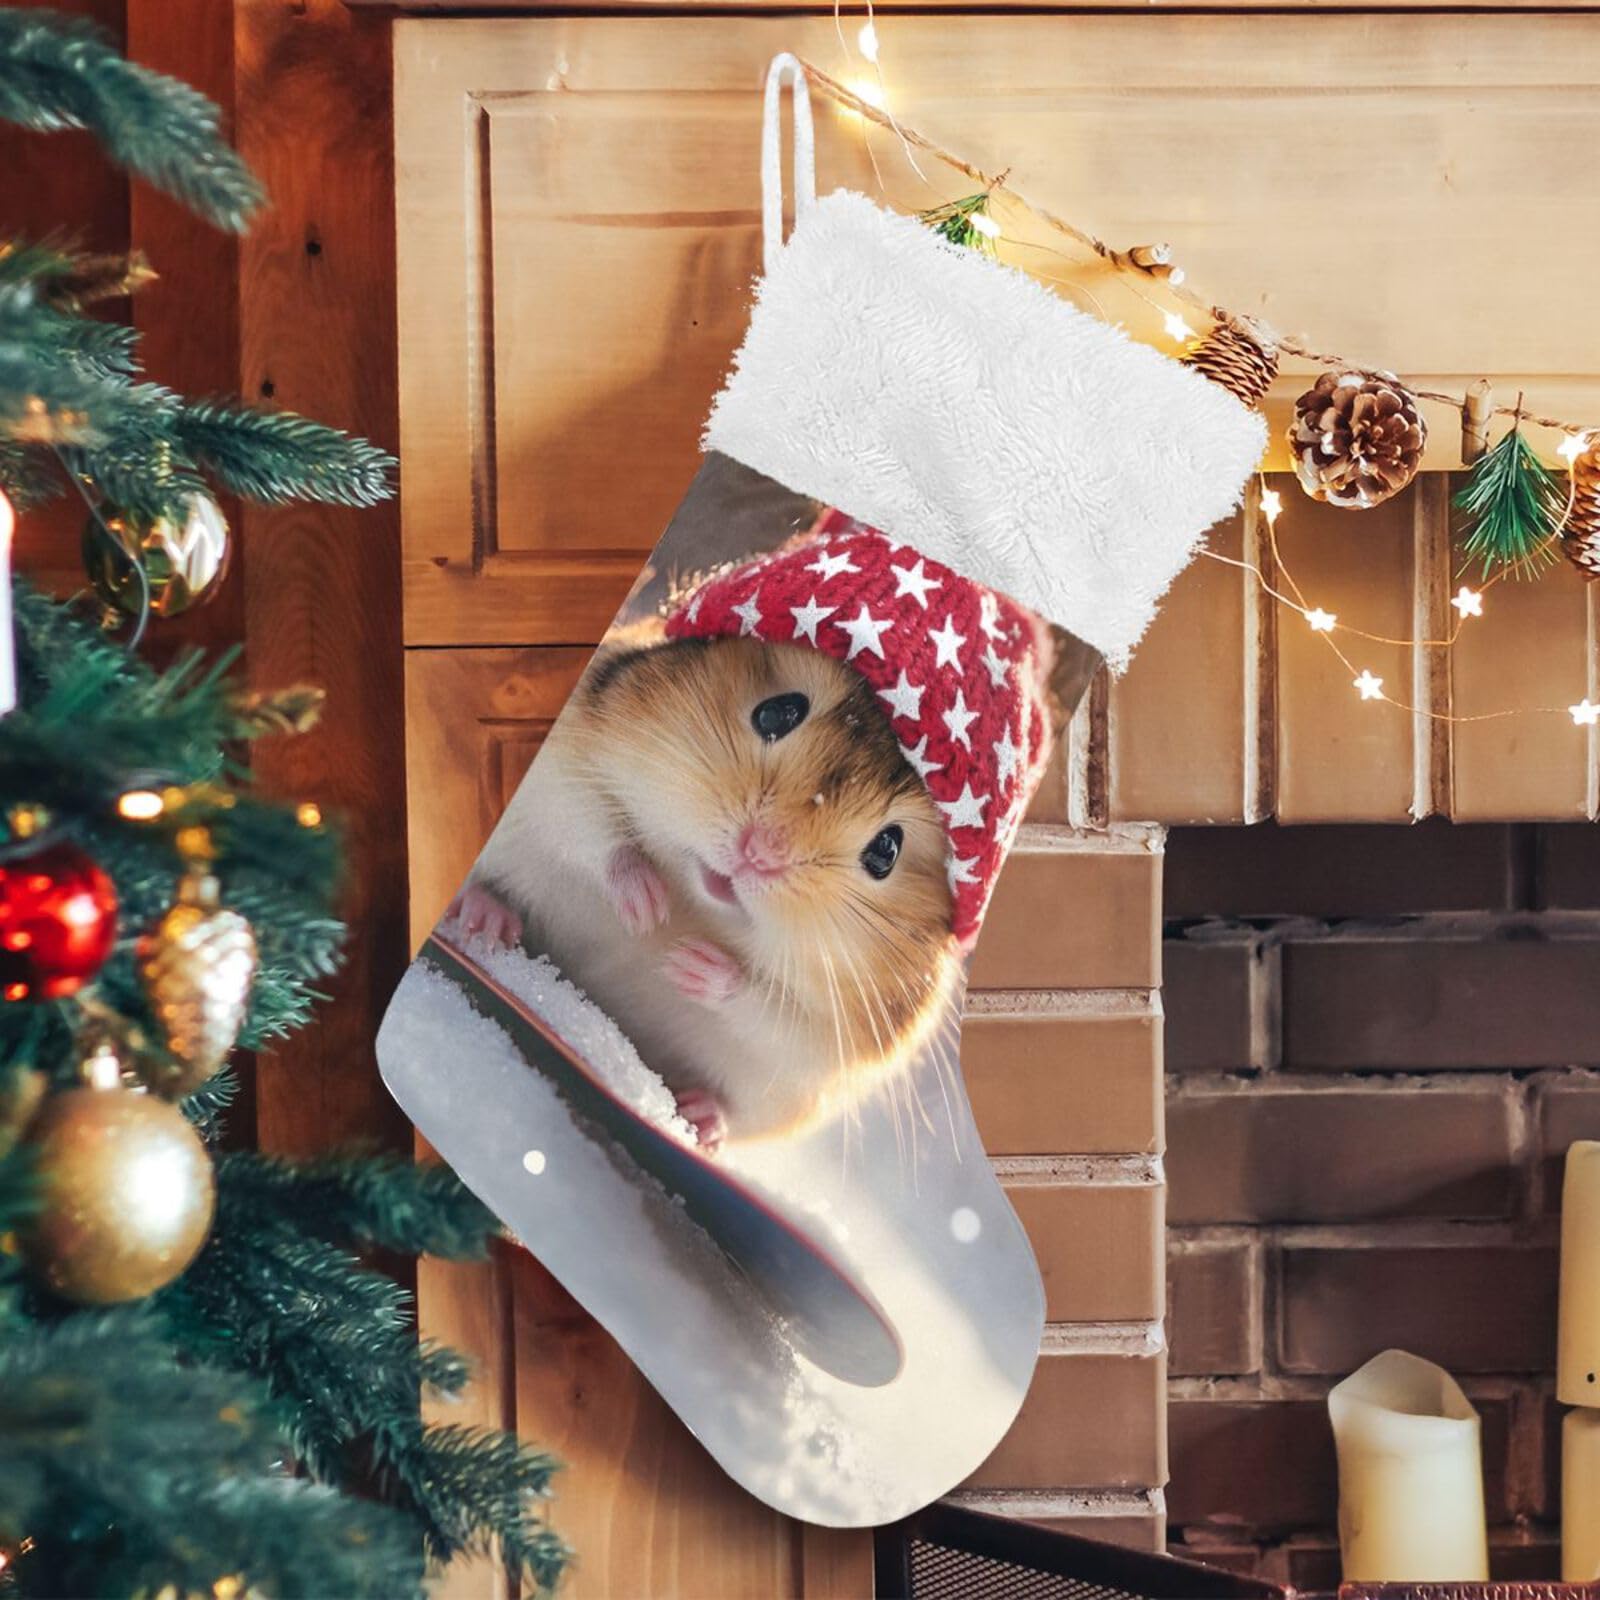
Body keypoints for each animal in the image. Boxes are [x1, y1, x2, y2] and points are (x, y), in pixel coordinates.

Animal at [451, 624, 960, 1153]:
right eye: (776, 712)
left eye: (886, 851)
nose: (759, 852)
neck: (698, 903)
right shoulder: (564, 759)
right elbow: (594, 827)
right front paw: (647, 909)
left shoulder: (840, 1039)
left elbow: (775, 1016)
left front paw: (687, 962)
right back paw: (487, 922)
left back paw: (698, 1118)